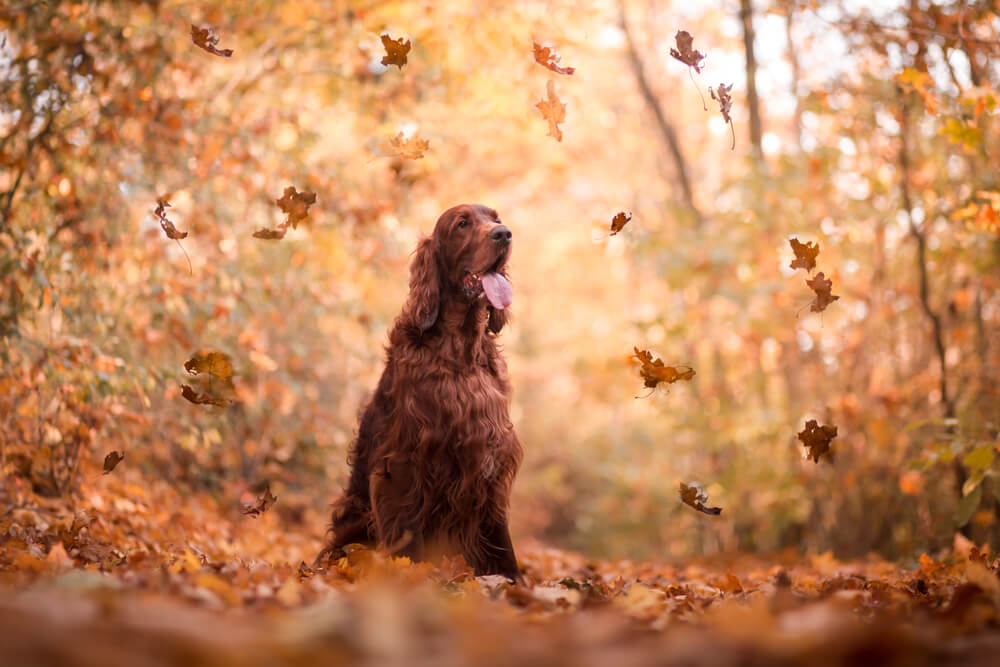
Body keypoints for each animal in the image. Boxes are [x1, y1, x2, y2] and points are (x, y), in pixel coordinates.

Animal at [320, 202, 524, 580]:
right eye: (462, 224)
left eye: (496, 219)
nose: (504, 234)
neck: (460, 352)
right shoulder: (408, 458)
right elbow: (407, 534)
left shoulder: (491, 457)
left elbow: (500, 537)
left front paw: (513, 582)